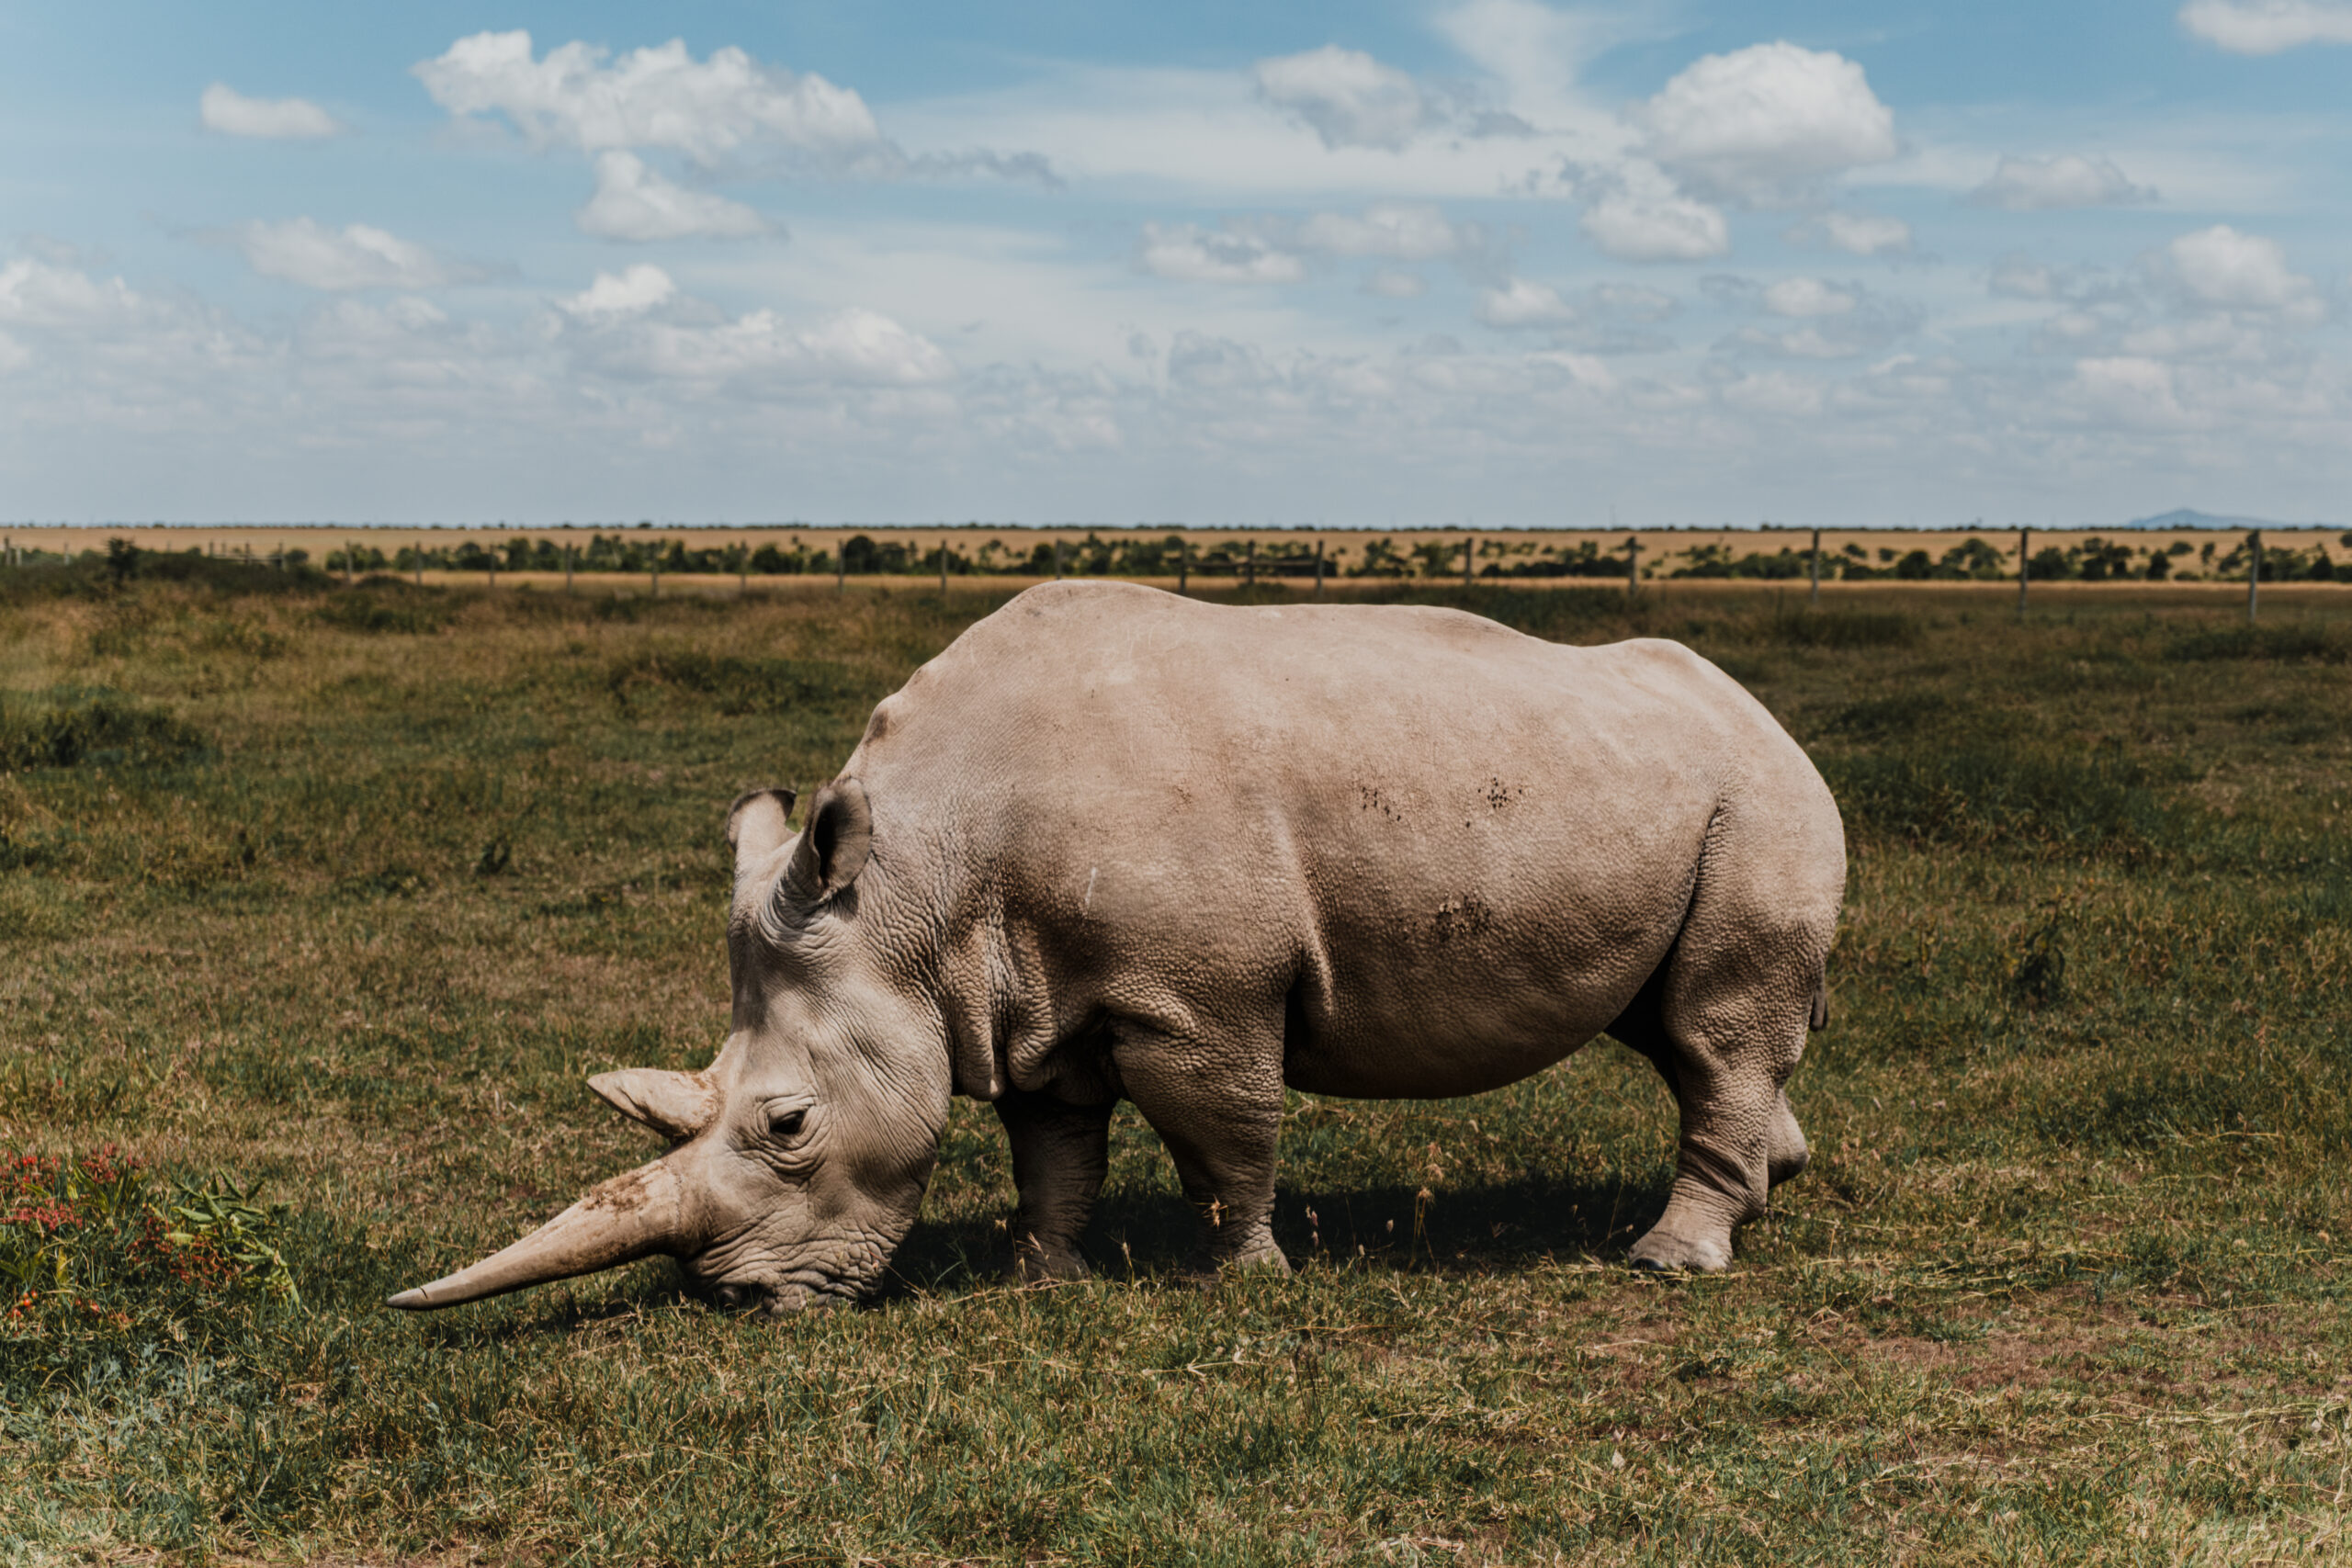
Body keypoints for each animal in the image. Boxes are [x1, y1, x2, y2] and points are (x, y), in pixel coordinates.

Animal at [390, 581, 1844, 1315]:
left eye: (789, 1125)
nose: (740, 1301)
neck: (916, 885)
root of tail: (1770, 717)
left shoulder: (1196, 997)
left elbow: (1226, 1136)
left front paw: (1248, 1280)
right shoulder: (1017, 987)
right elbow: (1053, 1145)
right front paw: (1048, 1277)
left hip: (1759, 800)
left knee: (1711, 1028)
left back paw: (1667, 1262)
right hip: (1669, 792)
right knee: (1675, 1030)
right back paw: (1768, 1184)